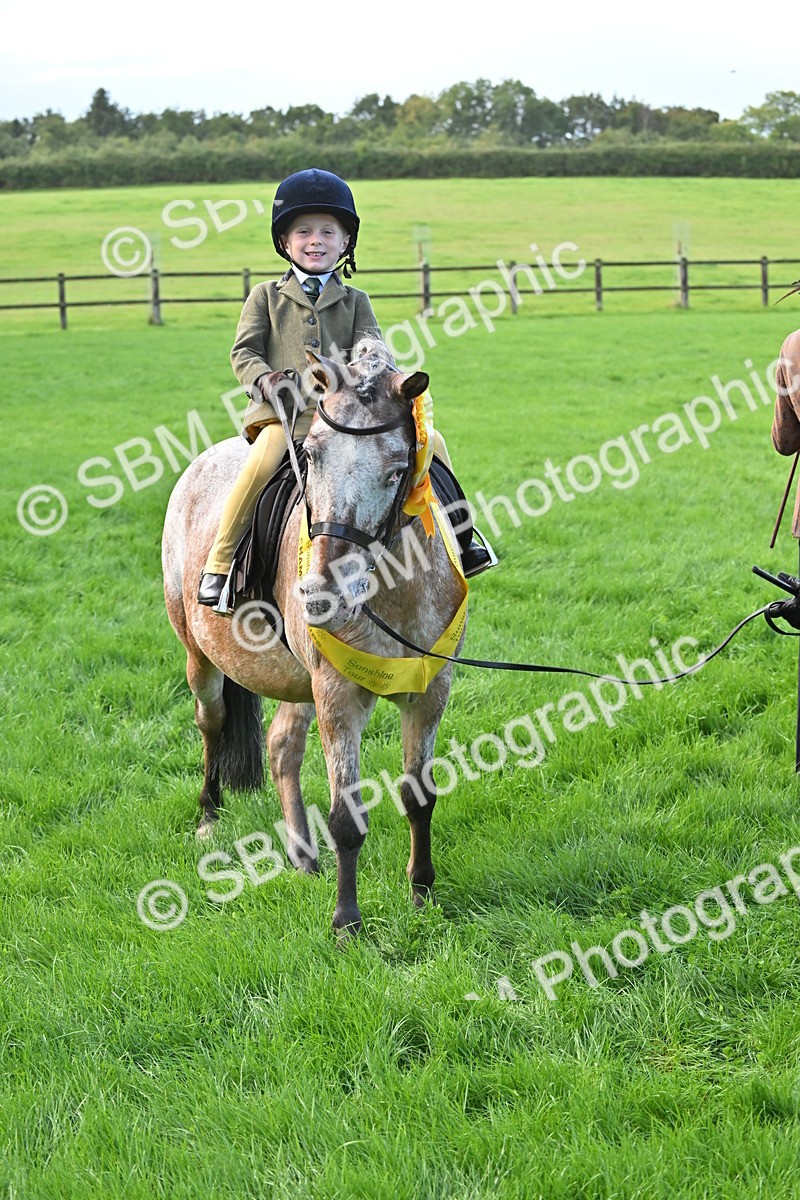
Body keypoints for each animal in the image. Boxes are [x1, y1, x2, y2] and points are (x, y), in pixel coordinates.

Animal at [161, 339, 468, 937]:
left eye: (399, 469)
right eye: (312, 456)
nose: (321, 594)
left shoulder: (429, 692)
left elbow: (419, 796)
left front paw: (421, 893)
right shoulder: (338, 697)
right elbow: (347, 817)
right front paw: (346, 921)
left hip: (298, 683)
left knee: (282, 745)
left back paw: (303, 855)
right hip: (201, 659)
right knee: (212, 723)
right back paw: (209, 815)